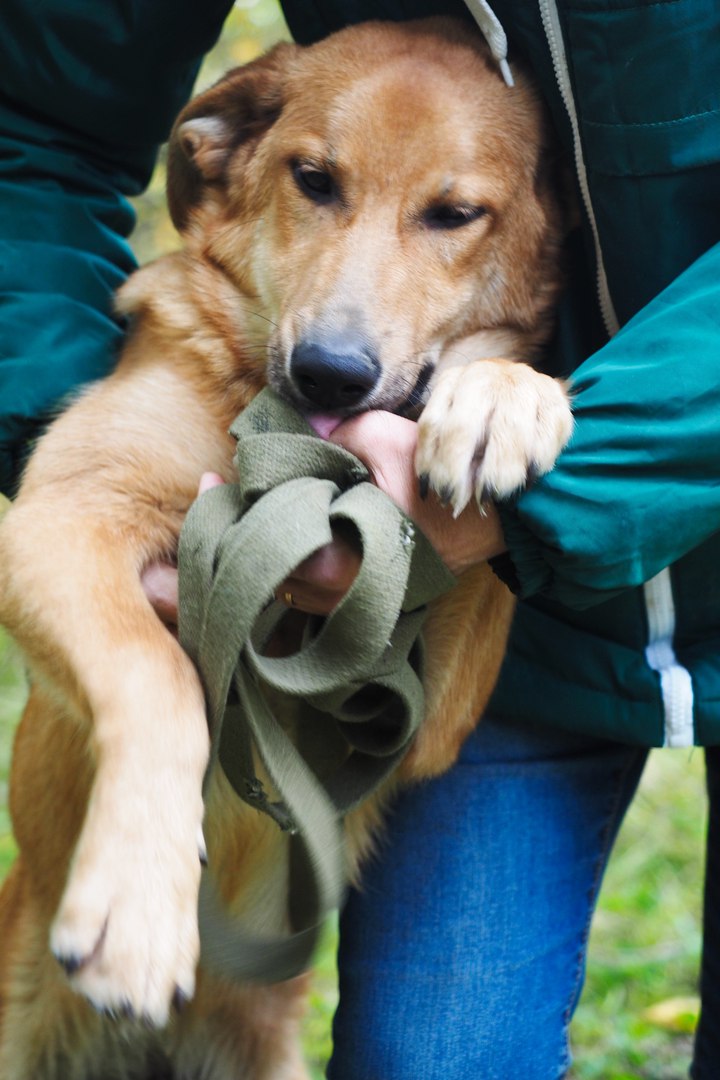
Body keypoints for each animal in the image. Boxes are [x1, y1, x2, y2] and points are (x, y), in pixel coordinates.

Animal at [0, 19, 574, 1080]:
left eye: (455, 214)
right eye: (314, 179)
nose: (331, 373)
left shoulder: (432, 705)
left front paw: (500, 398)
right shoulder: (57, 521)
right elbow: (156, 676)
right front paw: (136, 907)